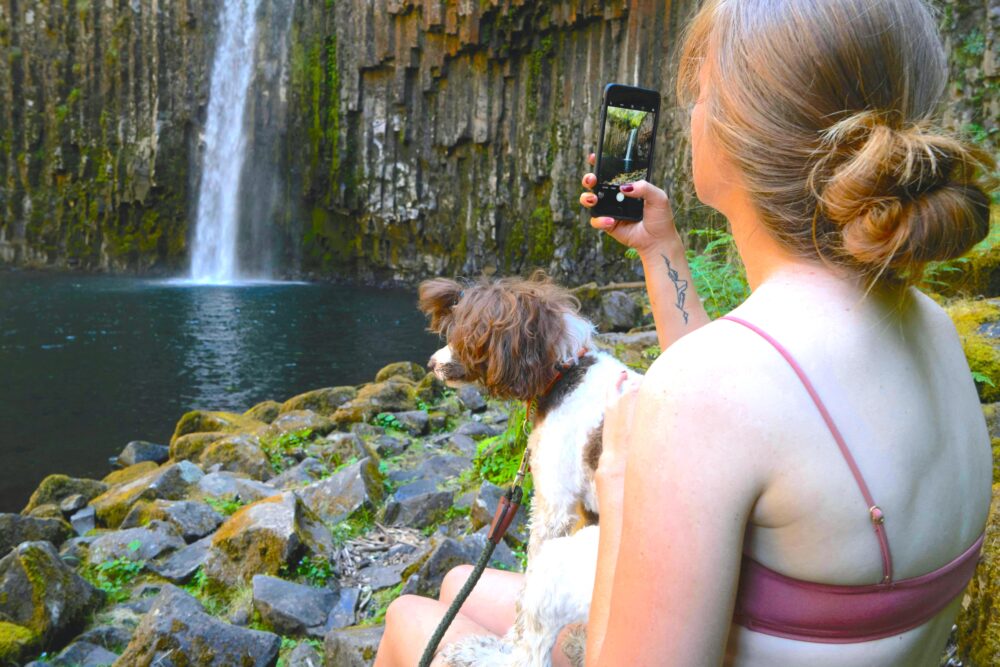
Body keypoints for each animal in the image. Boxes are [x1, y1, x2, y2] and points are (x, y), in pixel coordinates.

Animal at [420, 272, 640, 667]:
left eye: (464, 337)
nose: (431, 363)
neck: (565, 373)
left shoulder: (554, 507)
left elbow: (522, 601)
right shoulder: (582, 509)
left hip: (562, 563)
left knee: (530, 655)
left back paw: (472, 652)